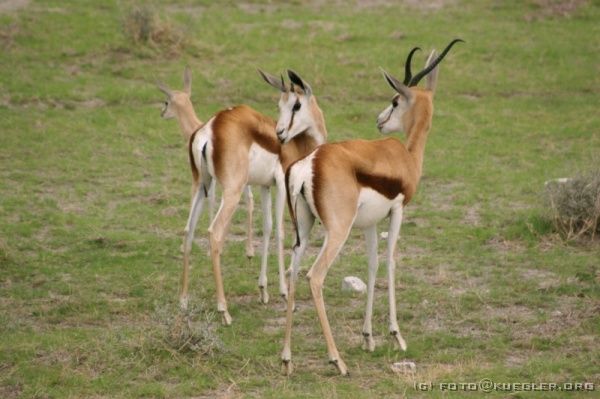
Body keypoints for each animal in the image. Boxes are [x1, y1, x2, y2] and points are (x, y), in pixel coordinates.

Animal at [170, 69, 328, 324]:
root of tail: (210, 128)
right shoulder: (283, 186)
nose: (280, 133)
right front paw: (284, 294)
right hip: (231, 191)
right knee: (214, 233)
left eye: (295, 104)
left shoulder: (265, 186)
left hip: (201, 185)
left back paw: (183, 301)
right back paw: (223, 311)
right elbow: (281, 232)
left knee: (189, 229)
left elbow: (267, 228)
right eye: (281, 105)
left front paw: (263, 291)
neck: (298, 144)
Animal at [278, 39, 462, 376]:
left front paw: (368, 337)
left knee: (294, 270)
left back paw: (286, 359)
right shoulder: (398, 211)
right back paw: (337, 361)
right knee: (315, 276)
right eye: (395, 98)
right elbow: (390, 262)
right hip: (337, 232)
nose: (380, 121)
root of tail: (310, 162)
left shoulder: (370, 224)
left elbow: (373, 264)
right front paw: (396, 335)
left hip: (304, 230)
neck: (406, 157)